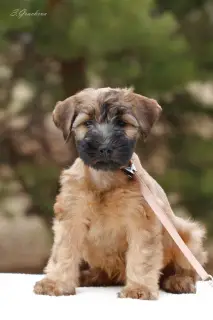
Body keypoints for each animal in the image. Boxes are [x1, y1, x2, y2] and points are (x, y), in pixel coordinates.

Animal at [34, 87, 207, 300]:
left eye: (123, 123)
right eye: (87, 123)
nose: (105, 148)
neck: (105, 179)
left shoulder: (141, 221)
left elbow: (142, 256)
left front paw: (139, 288)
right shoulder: (71, 217)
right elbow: (63, 251)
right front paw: (56, 282)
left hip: (186, 234)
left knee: (187, 269)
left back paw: (179, 281)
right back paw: (90, 275)